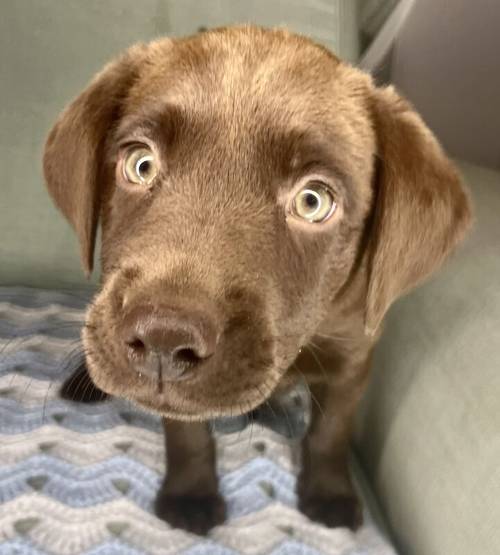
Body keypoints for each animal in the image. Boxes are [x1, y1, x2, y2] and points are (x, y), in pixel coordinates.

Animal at [42, 25, 468, 536]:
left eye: (312, 201)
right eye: (140, 164)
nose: (163, 338)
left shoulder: (353, 355)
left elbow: (331, 431)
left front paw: (329, 494)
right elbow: (186, 431)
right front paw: (190, 495)